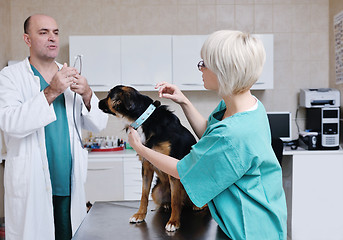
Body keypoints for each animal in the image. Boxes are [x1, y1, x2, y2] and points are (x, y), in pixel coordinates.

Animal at [98, 85, 206, 232]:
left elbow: (175, 199)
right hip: (156, 192)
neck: (144, 119)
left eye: (109, 95)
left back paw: (197, 205)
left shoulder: (174, 164)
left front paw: (173, 222)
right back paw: (166, 204)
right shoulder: (146, 165)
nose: (97, 102)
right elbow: (143, 194)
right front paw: (140, 215)